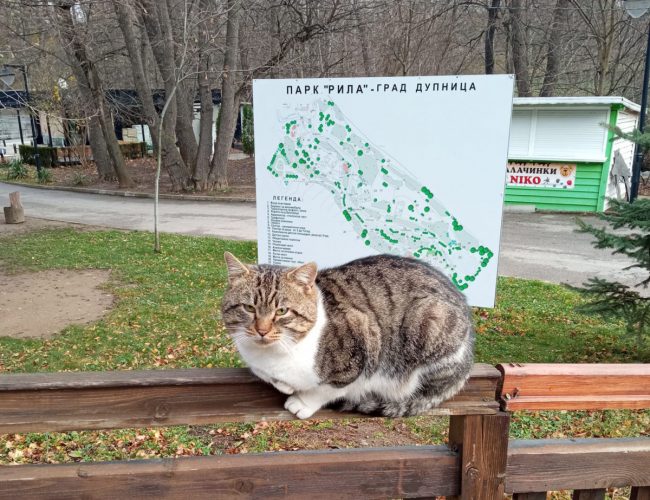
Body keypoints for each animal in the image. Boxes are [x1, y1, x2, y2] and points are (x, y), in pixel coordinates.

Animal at [220, 252, 474, 420]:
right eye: (249, 308)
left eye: (282, 311)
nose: (262, 330)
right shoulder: (255, 361)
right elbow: (264, 374)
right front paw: (284, 385)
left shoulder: (364, 347)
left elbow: (327, 389)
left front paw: (301, 402)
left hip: (431, 321)